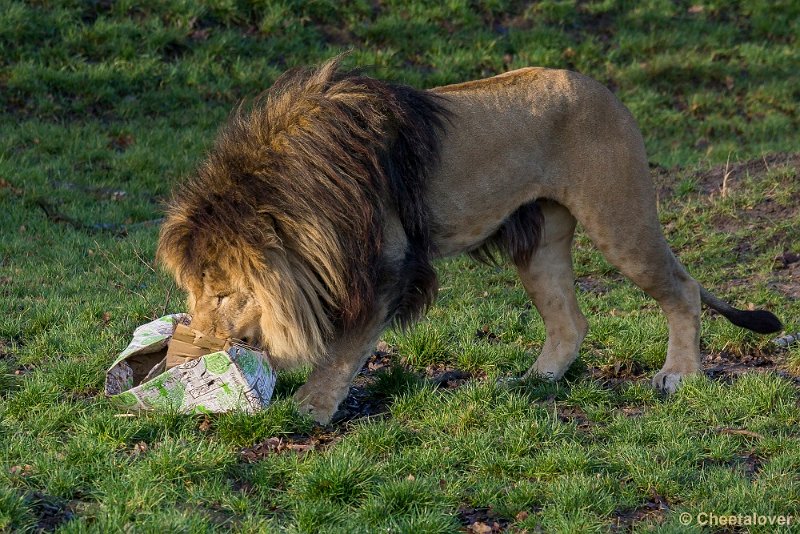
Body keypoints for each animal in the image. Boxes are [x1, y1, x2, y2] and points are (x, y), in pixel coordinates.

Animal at [156, 57, 780, 428]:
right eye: (194, 293)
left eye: (222, 294)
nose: (194, 348)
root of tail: (604, 89)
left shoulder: (390, 267)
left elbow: (343, 348)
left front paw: (310, 408)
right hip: (538, 242)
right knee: (571, 322)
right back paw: (532, 382)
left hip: (620, 221)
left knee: (684, 288)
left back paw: (679, 375)